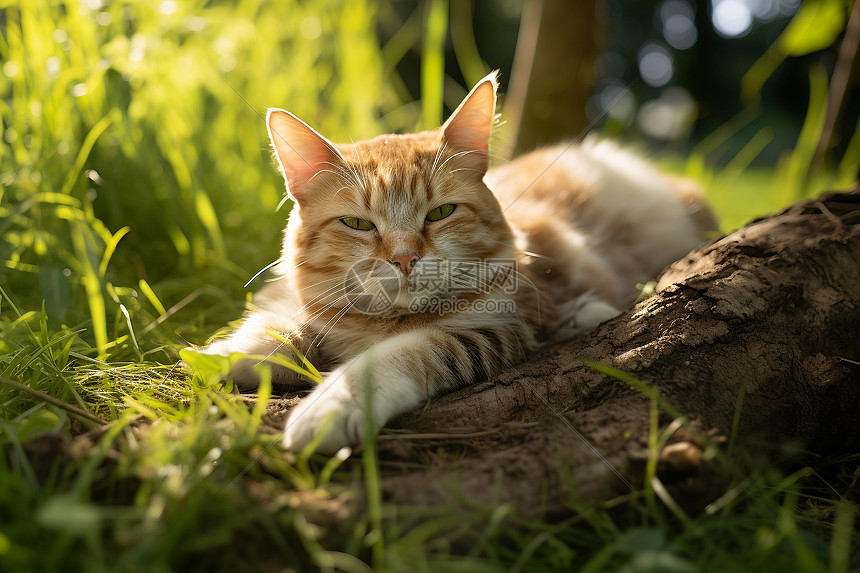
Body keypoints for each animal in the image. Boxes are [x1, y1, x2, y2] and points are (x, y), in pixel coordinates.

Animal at [200, 71, 712, 454]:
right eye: (358, 224)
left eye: (440, 213)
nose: (405, 258)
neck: (382, 322)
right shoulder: (307, 310)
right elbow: (277, 334)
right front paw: (216, 358)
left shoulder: (490, 330)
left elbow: (396, 356)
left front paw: (329, 408)